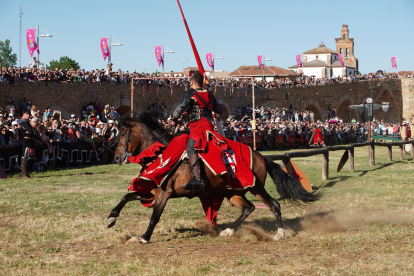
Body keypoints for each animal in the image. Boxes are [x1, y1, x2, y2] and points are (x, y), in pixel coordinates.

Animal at [107, 112, 320, 244]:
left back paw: (280, 234)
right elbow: (126, 197)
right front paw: (111, 217)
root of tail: (261, 157)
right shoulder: (152, 192)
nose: (116, 158)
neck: (162, 154)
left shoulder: (164, 194)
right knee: (248, 208)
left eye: (123, 133)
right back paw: (229, 231)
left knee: (274, 205)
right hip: (232, 191)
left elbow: (154, 217)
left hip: (255, 187)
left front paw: (144, 237)